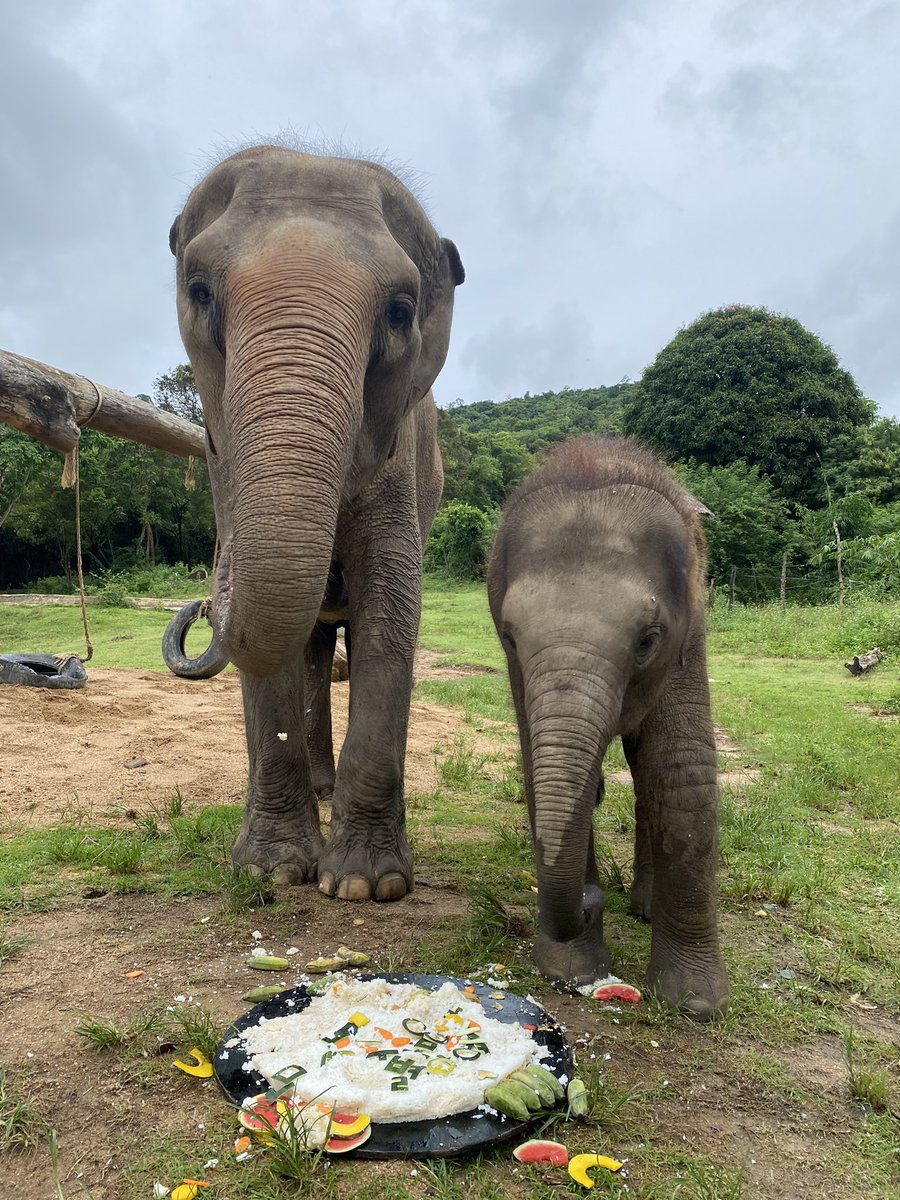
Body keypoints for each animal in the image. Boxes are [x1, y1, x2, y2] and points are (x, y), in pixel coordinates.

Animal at [169, 145, 464, 901]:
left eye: (399, 311)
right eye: (200, 292)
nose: (205, 602)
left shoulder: (398, 460)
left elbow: (391, 604)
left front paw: (363, 886)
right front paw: (271, 869)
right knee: (307, 642)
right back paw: (320, 792)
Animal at [487, 436, 729, 1019]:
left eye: (647, 639)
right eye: (508, 635)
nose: (590, 903)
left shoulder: (689, 637)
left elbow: (681, 772)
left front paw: (694, 1006)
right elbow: (537, 767)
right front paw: (572, 974)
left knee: (650, 772)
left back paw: (644, 908)